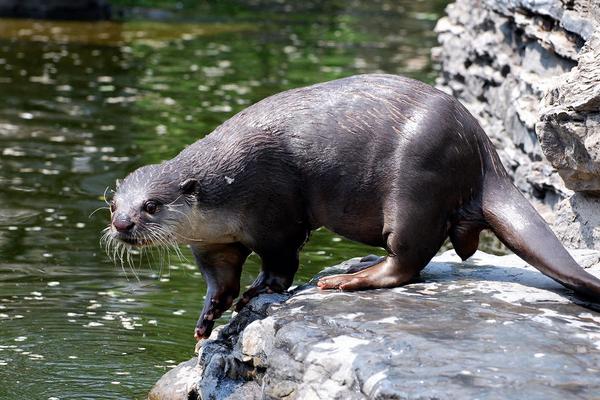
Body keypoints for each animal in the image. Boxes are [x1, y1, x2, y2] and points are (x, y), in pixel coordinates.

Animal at [106, 73, 600, 340]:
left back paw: (349, 280)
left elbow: (280, 264)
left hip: (416, 181)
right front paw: (207, 319)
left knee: (408, 259)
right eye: (114, 204)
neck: (226, 188)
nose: (124, 224)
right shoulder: (214, 244)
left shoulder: (273, 212)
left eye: (151, 205)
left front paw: (258, 292)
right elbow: (220, 282)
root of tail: (481, 150)